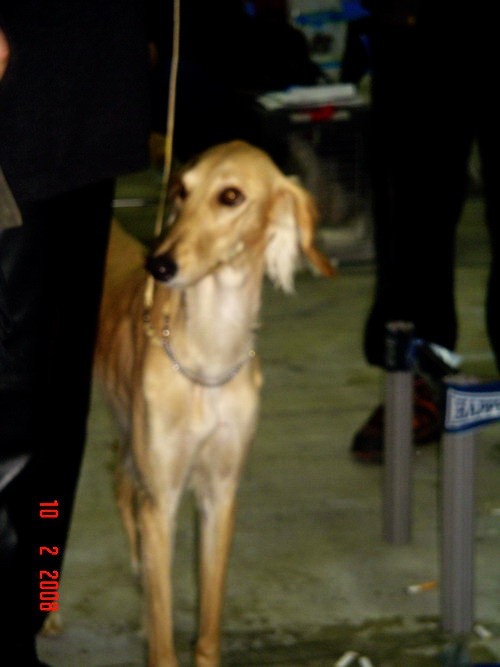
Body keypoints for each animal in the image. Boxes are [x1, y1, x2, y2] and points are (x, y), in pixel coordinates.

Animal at [95, 138, 334, 664]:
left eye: (230, 196)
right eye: (181, 191)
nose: (159, 266)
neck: (206, 357)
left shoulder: (220, 493)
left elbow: (207, 623)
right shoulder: (162, 500)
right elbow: (165, 644)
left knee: (120, 482)